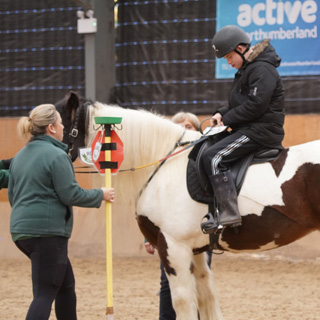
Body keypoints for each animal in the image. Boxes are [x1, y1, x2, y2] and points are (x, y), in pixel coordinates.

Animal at [55, 90, 320, 320]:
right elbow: (206, 296)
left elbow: (182, 301)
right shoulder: (197, 250)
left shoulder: (173, 247)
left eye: (61, 123)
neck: (162, 163)